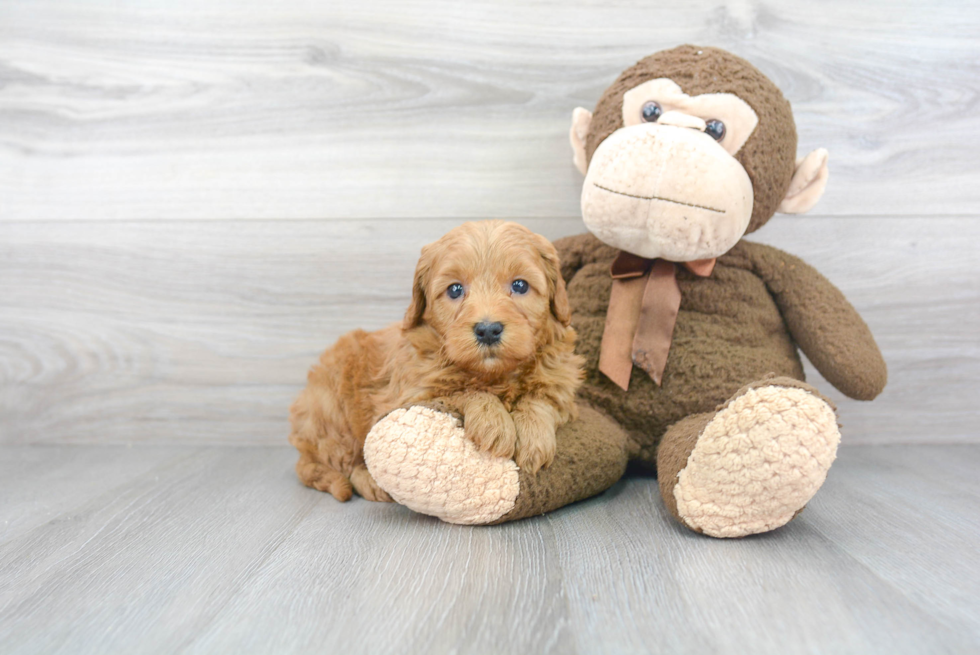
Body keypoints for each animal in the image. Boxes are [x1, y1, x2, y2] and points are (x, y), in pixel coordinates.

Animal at [288, 220, 584, 502]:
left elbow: (541, 398)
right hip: (333, 412)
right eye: (455, 290)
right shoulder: (413, 394)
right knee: (342, 462)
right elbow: (462, 391)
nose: (488, 330)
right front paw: (494, 423)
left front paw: (534, 438)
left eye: (520, 285)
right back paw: (371, 483)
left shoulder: (561, 384)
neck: (494, 374)